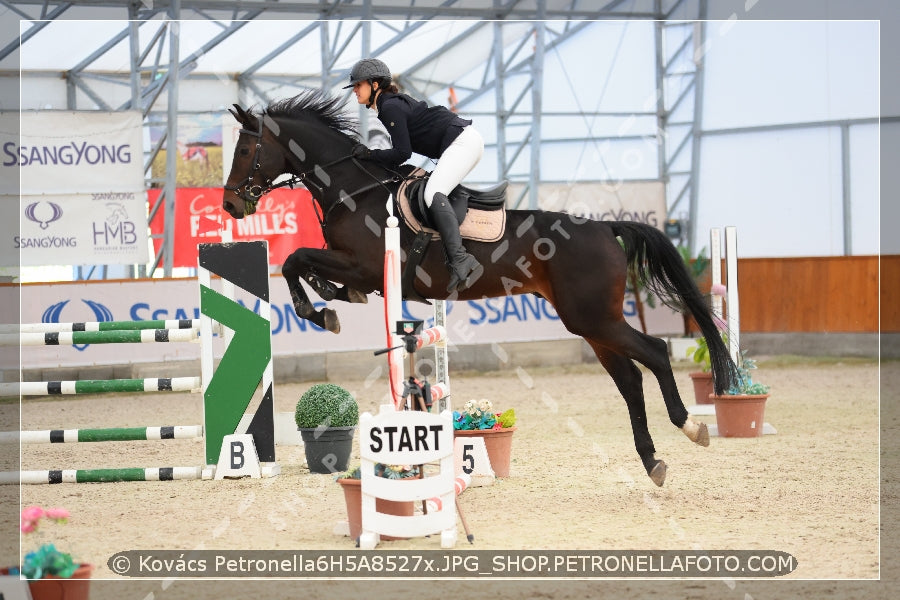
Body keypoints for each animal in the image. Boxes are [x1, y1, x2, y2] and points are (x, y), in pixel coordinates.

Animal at [221, 89, 736, 486]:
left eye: (245, 151)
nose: (229, 206)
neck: (353, 190)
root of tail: (606, 227)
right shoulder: (359, 270)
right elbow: (302, 265)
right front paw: (329, 300)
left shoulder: (364, 266)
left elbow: (295, 260)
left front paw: (320, 311)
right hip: (590, 322)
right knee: (629, 378)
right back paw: (652, 461)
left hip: (594, 317)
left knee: (655, 353)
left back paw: (690, 427)